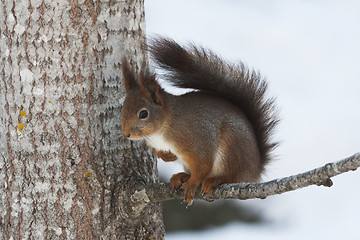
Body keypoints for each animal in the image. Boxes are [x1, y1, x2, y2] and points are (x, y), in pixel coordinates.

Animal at [121, 37, 278, 204]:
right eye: (122, 108)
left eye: (143, 113)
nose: (126, 134)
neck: (160, 131)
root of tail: (255, 169)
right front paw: (168, 156)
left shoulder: (198, 142)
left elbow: (202, 166)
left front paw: (192, 184)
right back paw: (182, 176)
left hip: (232, 147)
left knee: (232, 178)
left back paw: (214, 180)